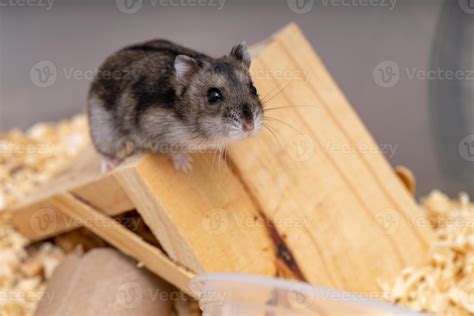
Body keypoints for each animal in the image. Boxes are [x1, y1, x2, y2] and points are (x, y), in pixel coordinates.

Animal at [87, 40, 264, 173]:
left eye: (253, 88)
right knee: (104, 151)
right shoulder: (153, 130)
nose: (249, 127)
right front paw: (185, 166)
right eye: (213, 96)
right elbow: (173, 149)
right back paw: (109, 166)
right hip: (103, 130)